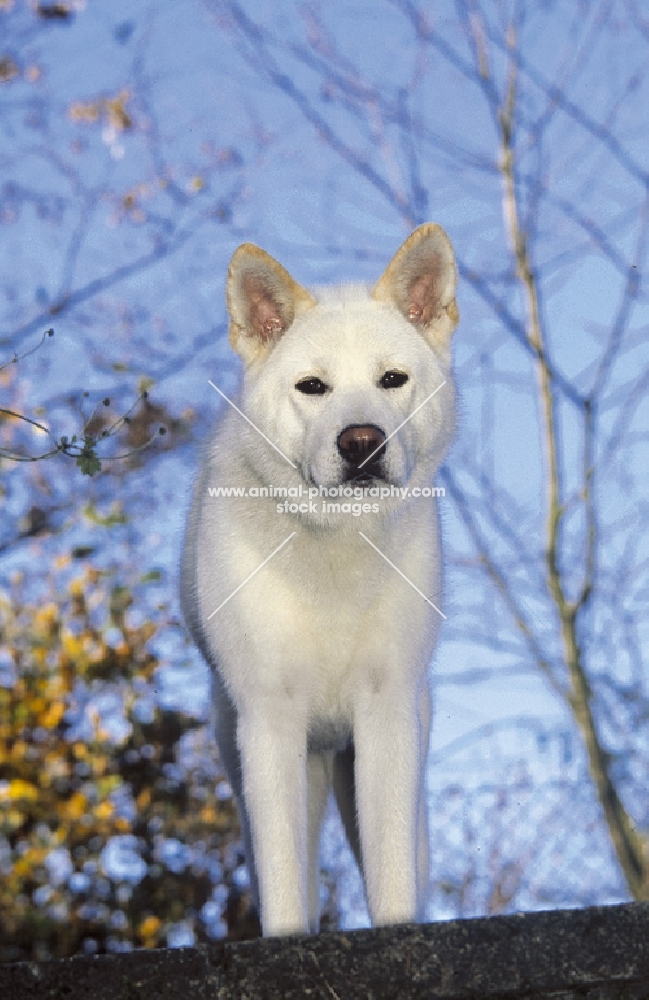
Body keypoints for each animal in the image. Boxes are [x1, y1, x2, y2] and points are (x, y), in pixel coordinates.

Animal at [180, 227, 458, 936]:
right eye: (312, 386)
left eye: (392, 379)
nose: (361, 441)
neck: (335, 546)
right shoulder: (271, 719)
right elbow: (285, 892)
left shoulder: (386, 712)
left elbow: (391, 883)